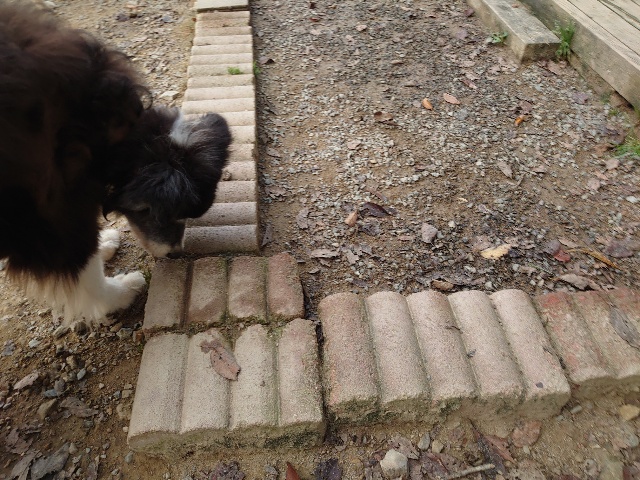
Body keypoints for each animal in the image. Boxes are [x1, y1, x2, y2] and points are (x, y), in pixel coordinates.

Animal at [0, 1, 231, 327]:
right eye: (155, 213)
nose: (175, 254)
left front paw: (106, 243)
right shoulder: (53, 221)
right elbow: (85, 270)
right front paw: (121, 292)